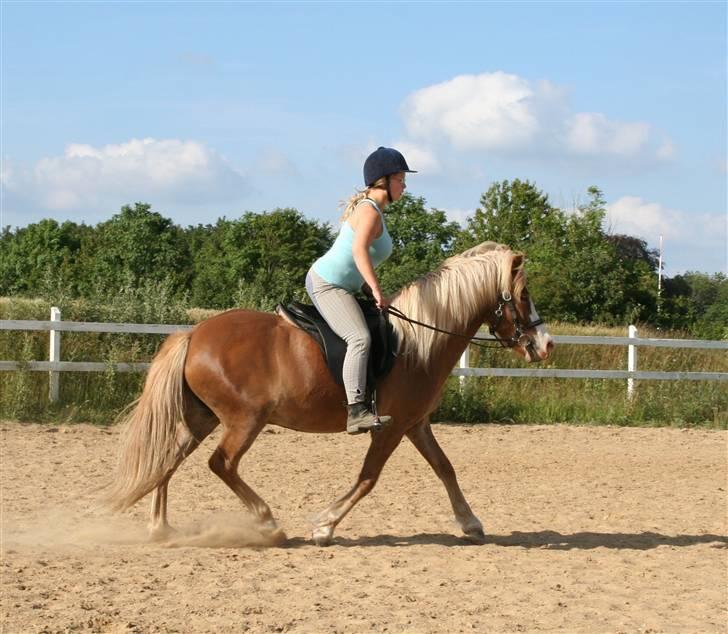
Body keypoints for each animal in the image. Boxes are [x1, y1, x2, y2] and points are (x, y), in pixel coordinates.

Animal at [105, 242, 556, 544]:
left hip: (202, 417)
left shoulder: (415, 424)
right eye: (523, 295)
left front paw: (471, 523)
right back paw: (267, 523)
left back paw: (161, 528)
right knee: (222, 464)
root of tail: (194, 334)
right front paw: (324, 525)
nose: (545, 344)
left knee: (167, 458)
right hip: (243, 421)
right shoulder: (391, 428)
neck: (417, 342)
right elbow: (368, 477)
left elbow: (445, 468)